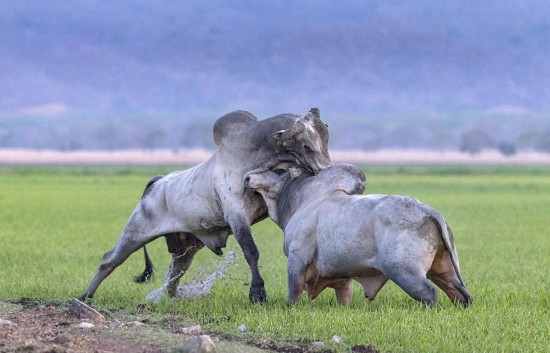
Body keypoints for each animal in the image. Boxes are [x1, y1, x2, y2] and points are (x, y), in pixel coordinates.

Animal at [78, 108, 332, 302]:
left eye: (326, 140)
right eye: (307, 146)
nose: (326, 169)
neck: (253, 155)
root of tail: (157, 183)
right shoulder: (236, 216)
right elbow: (251, 252)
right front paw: (257, 293)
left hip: (186, 249)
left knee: (173, 274)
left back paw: (171, 298)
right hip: (135, 233)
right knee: (109, 260)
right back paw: (85, 296)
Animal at [245, 162, 474, 306]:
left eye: (279, 170)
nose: (247, 177)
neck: (302, 200)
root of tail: (426, 210)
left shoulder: (297, 258)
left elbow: (293, 293)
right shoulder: (341, 276)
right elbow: (344, 296)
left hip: (404, 271)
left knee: (430, 294)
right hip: (443, 269)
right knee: (461, 294)